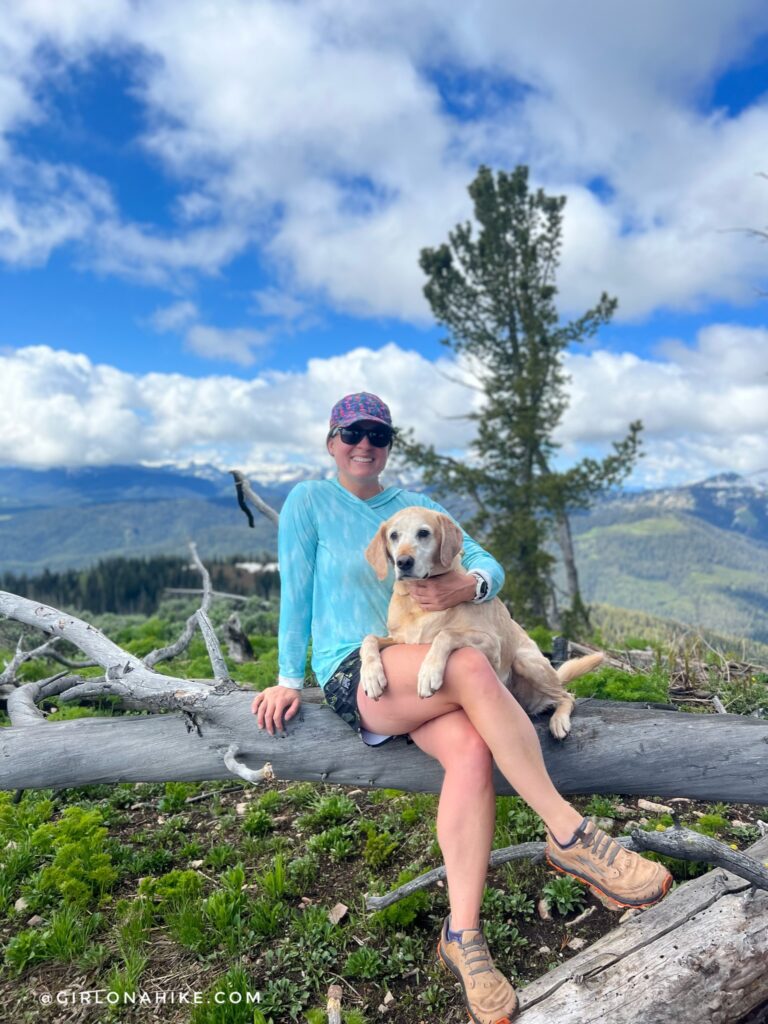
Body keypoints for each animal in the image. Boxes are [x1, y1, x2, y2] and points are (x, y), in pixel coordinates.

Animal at [360, 507, 606, 741]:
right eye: (393, 535)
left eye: (423, 533)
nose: (403, 562)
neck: (417, 603)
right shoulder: (399, 640)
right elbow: (369, 639)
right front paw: (371, 676)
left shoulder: (491, 645)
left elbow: (445, 634)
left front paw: (429, 673)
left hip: (525, 661)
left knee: (567, 696)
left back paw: (559, 721)